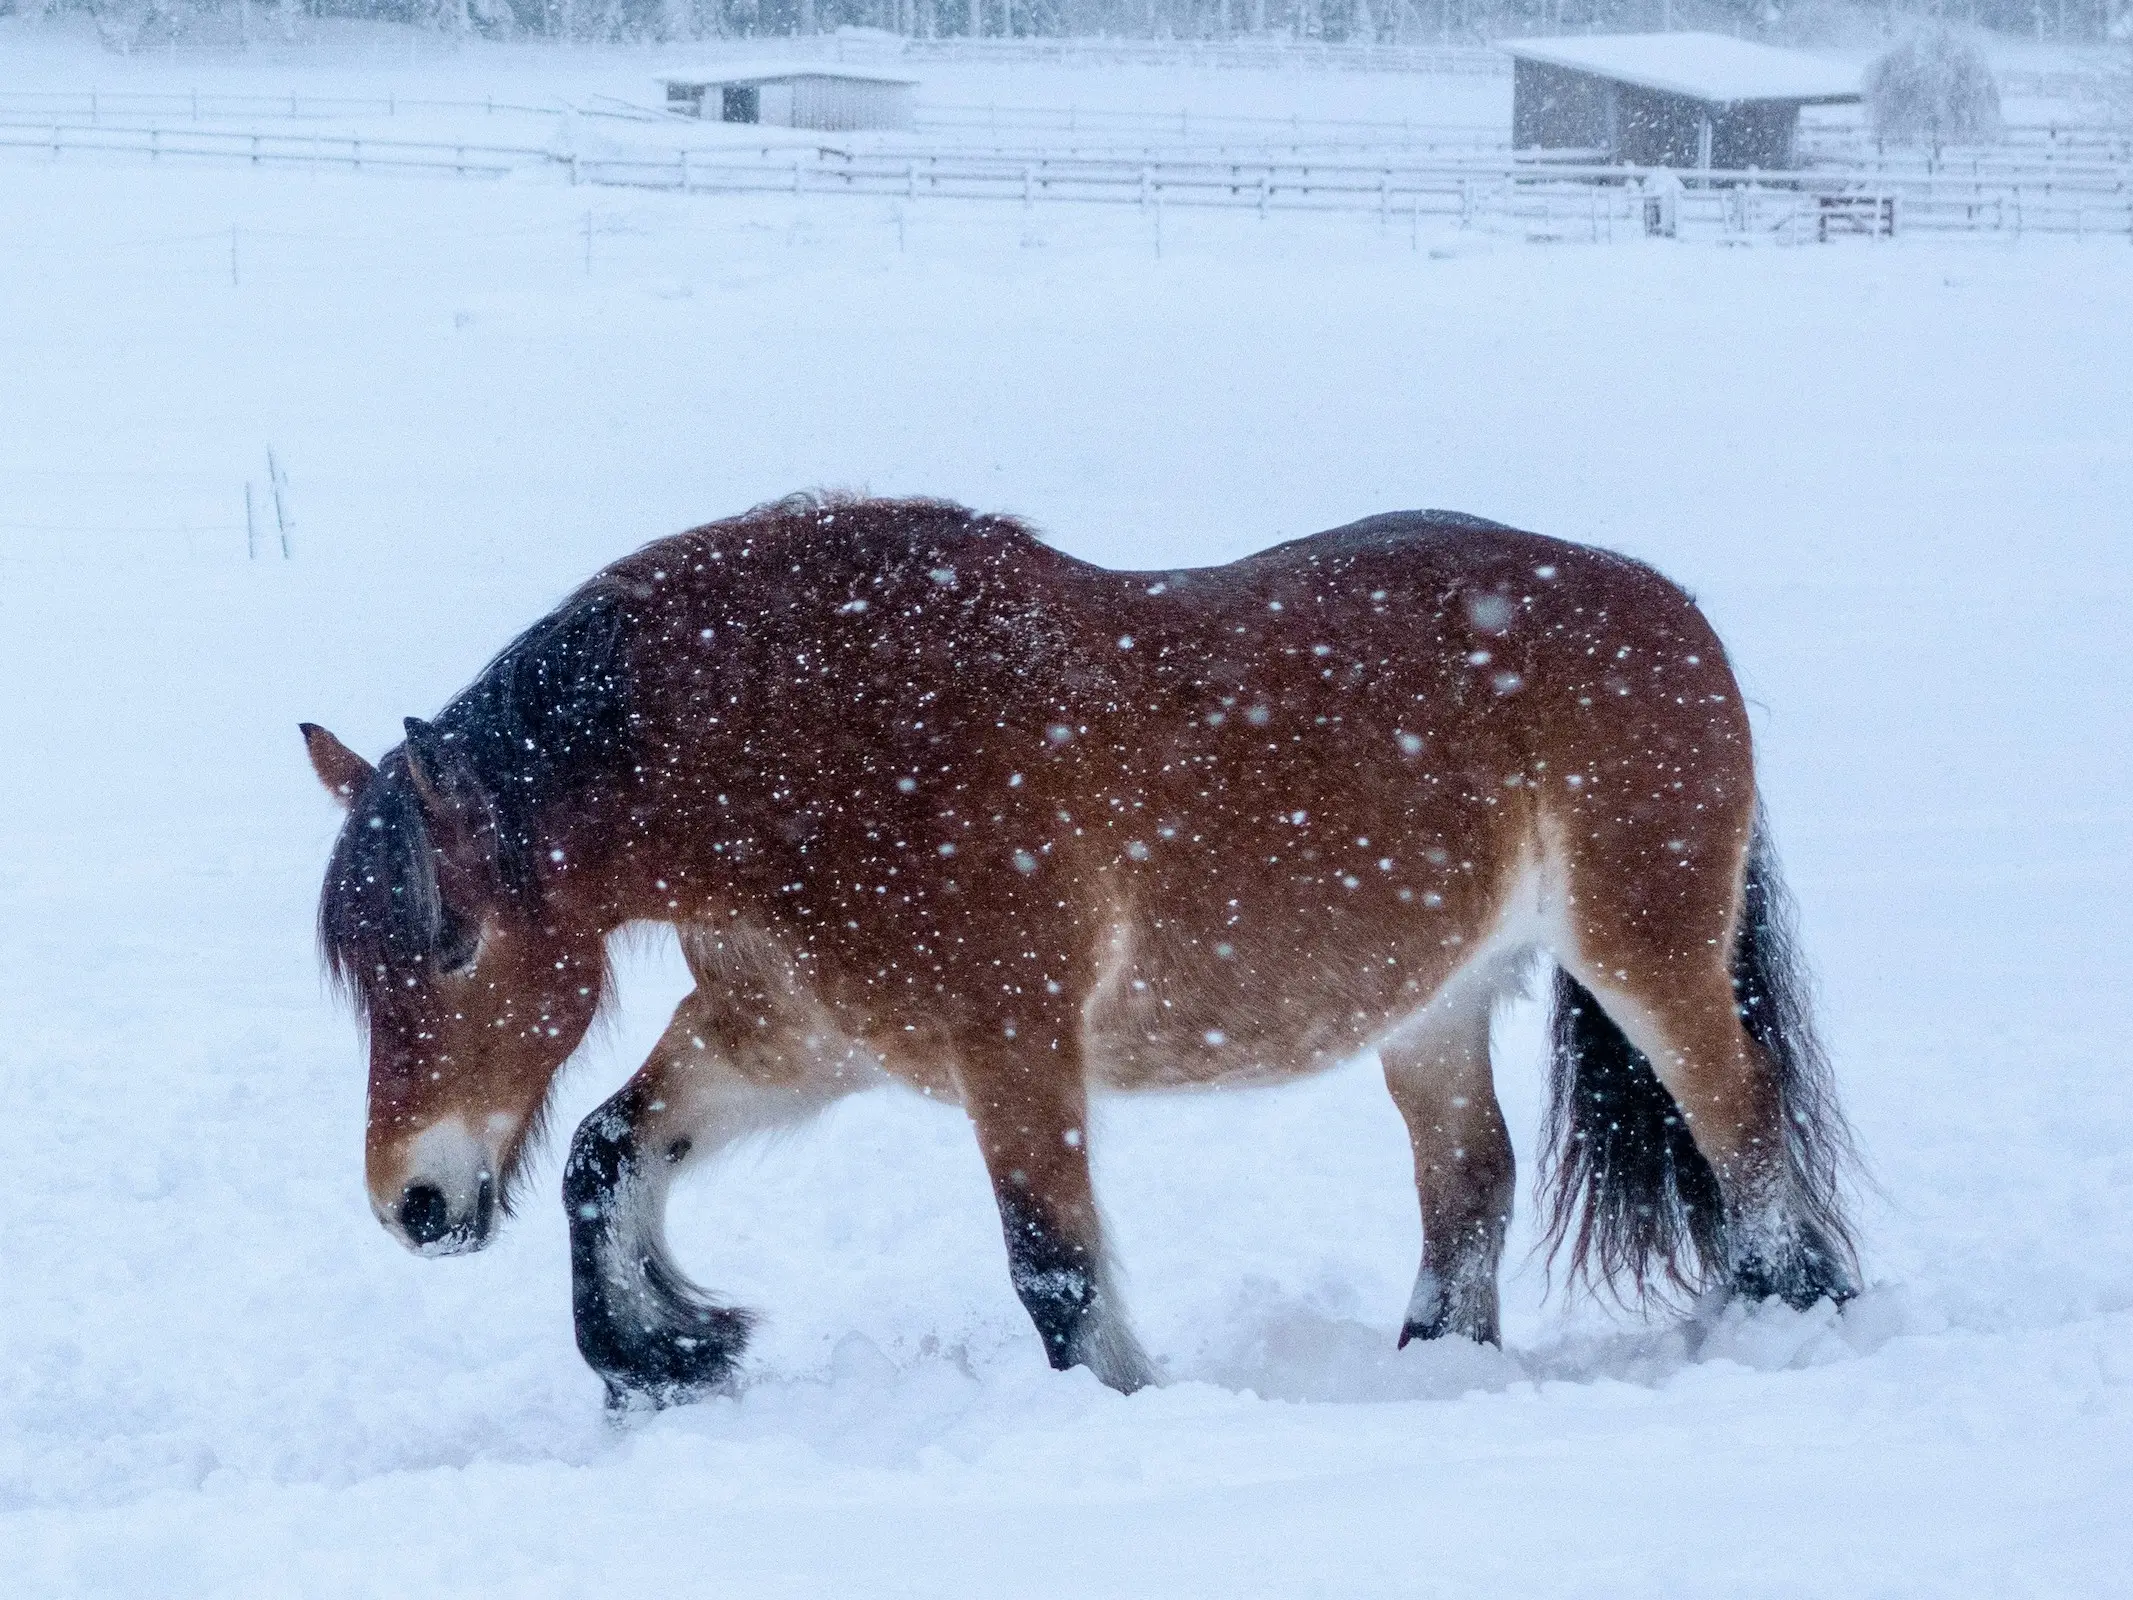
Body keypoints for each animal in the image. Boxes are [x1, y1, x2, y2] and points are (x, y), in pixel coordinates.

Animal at [309, 494, 1859, 1408]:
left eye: (451, 942)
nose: (414, 1205)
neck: (822, 746)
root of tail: (1669, 604)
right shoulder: (789, 1046)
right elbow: (605, 1153)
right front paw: (666, 1355)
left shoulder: (1016, 1052)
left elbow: (1053, 1268)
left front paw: (1121, 1405)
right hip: (1436, 1004)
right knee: (1472, 1179)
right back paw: (1429, 1370)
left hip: (1648, 955)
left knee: (1743, 1127)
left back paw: (1792, 1317)